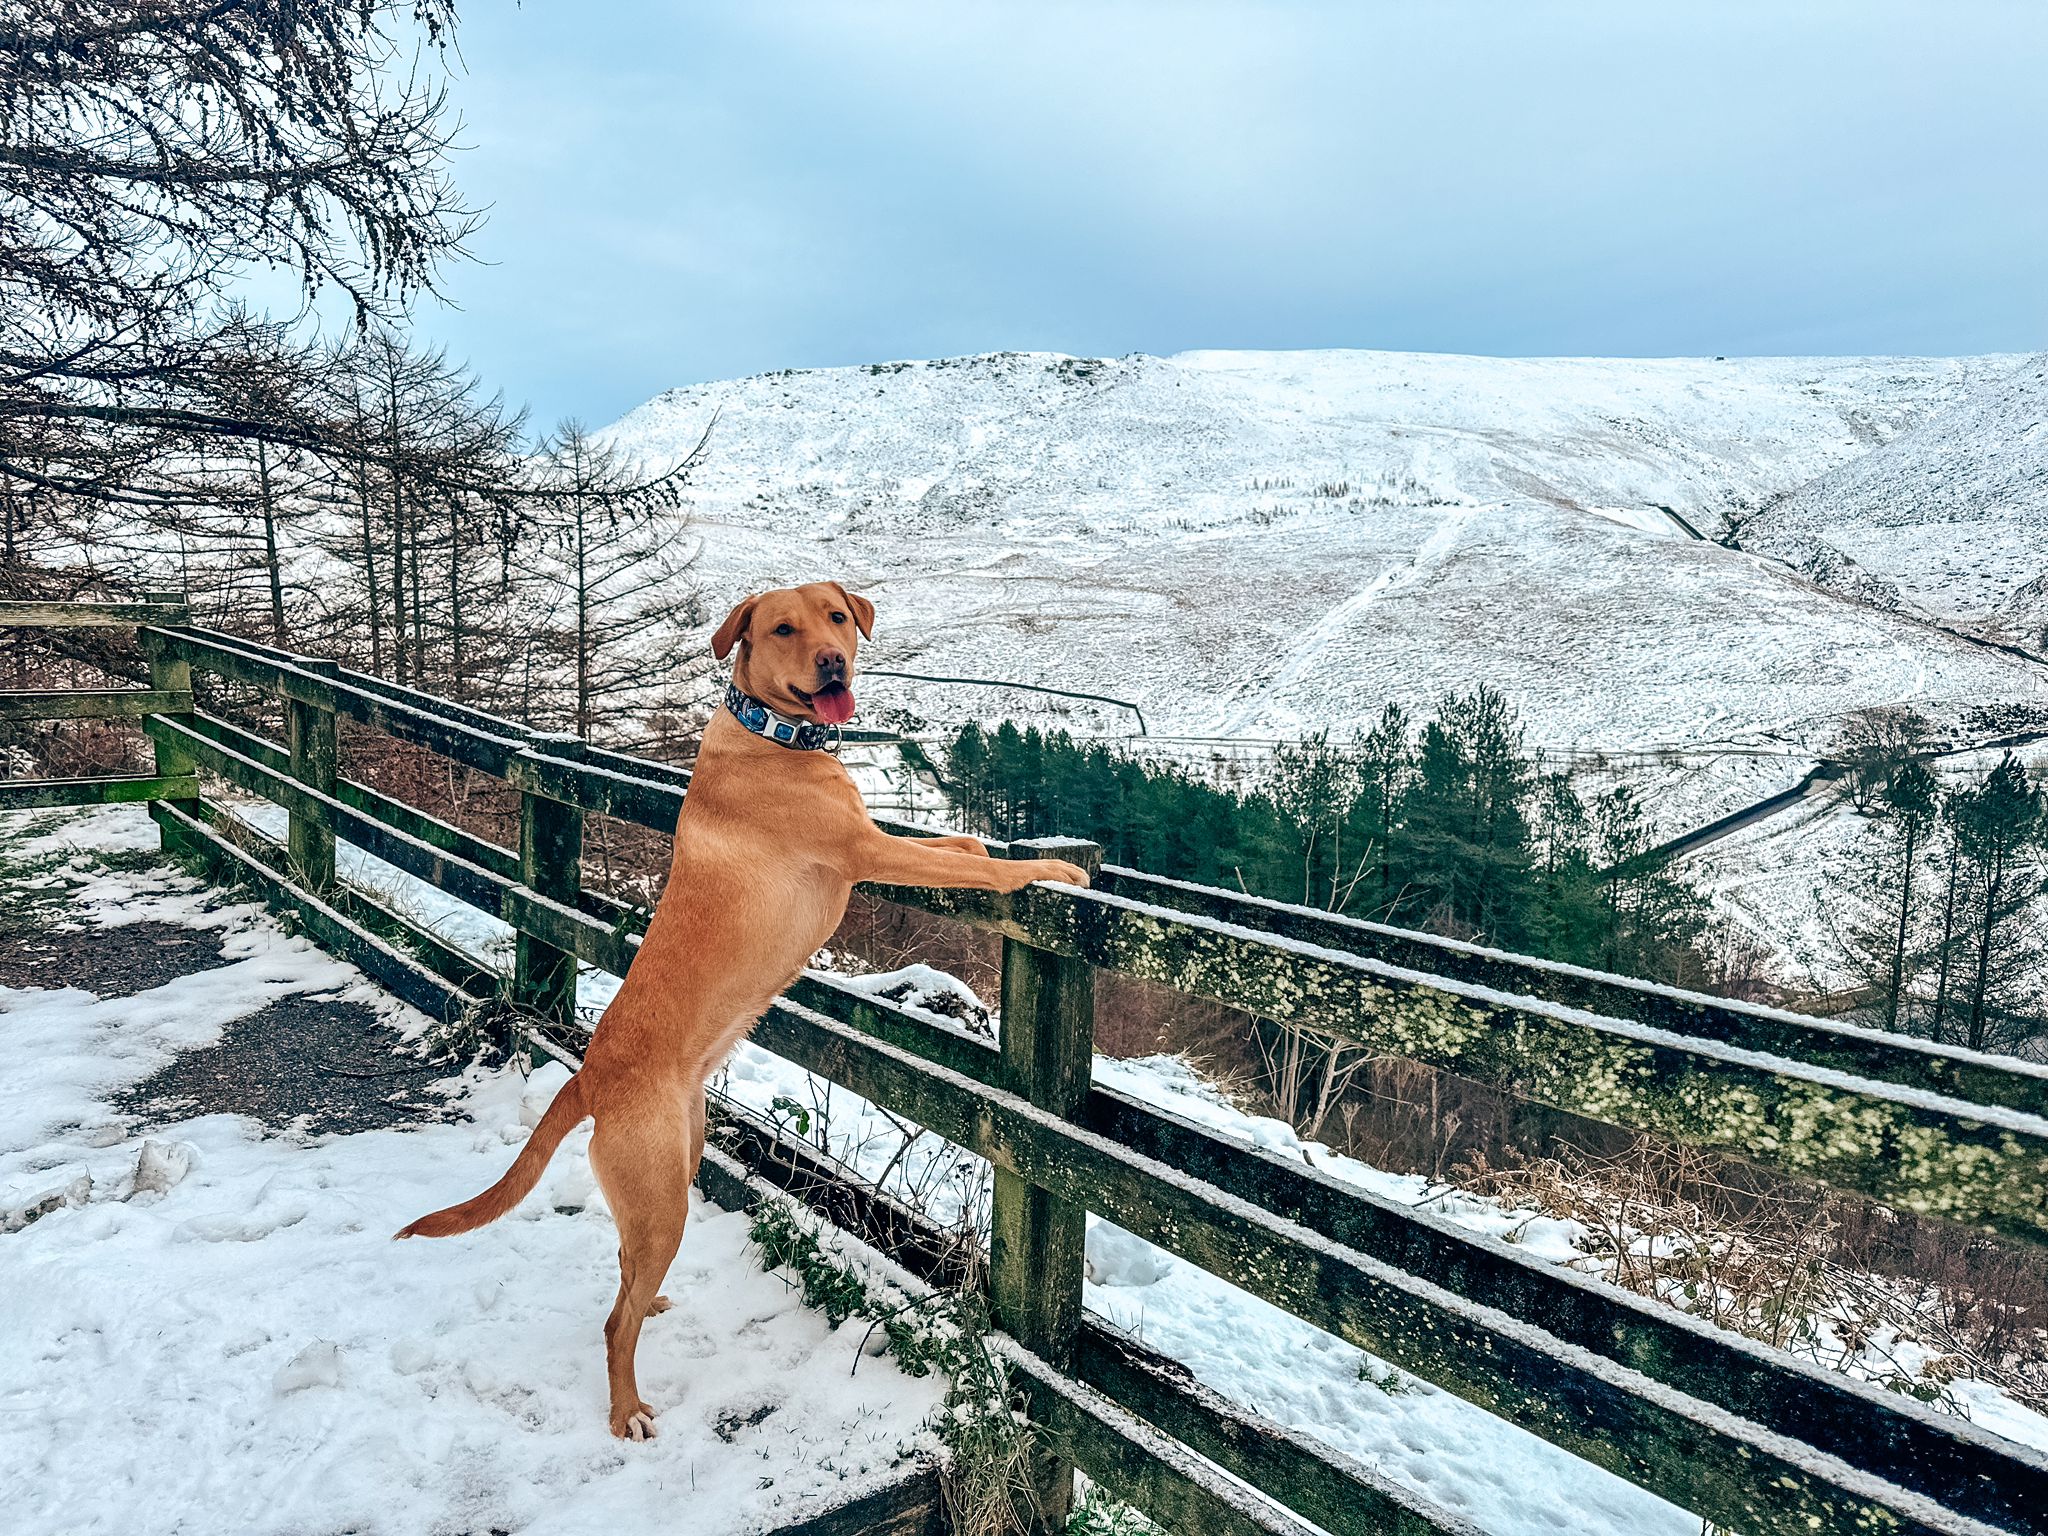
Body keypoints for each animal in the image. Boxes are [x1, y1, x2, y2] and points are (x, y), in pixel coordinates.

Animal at [396, 581, 1091, 1439]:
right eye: (783, 628)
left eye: (836, 617)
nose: (831, 661)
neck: (776, 736)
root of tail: (588, 1077)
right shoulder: (867, 850)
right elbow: (982, 871)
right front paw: (1051, 867)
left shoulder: (878, 834)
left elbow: (964, 850)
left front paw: (994, 848)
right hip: (662, 1196)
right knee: (613, 1323)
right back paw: (626, 1410)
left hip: (675, 1167)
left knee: (625, 1275)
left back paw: (649, 1304)